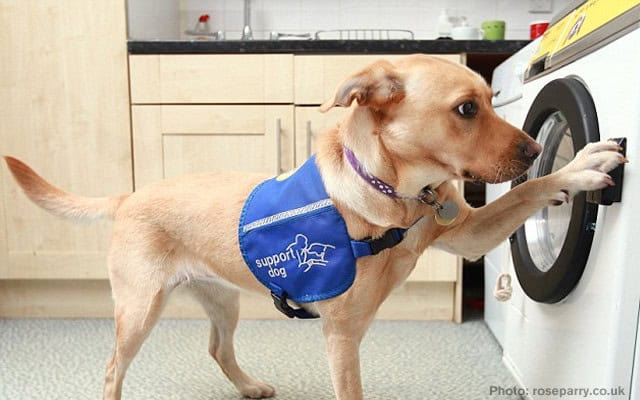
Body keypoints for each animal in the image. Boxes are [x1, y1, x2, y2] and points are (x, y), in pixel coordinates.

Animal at [2, 54, 628, 400]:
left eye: (492, 101)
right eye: (467, 109)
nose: (533, 150)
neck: (394, 196)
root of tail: (130, 194)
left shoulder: (468, 231)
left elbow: (525, 195)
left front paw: (577, 165)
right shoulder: (342, 337)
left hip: (222, 299)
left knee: (217, 348)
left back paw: (249, 386)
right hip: (139, 309)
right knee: (112, 369)